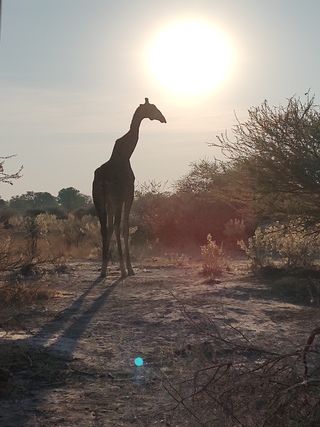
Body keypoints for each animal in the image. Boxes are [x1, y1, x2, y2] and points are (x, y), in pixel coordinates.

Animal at [92, 98, 166, 280]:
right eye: (152, 108)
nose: (163, 118)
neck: (126, 153)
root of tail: (103, 179)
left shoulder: (110, 201)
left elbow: (111, 228)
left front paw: (108, 267)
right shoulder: (128, 194)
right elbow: (125, 228)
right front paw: (129, 268)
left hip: (99, 200)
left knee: (105, 228)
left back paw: (103, 270)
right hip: (117, 198)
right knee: (118, 226)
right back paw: (124, 270)